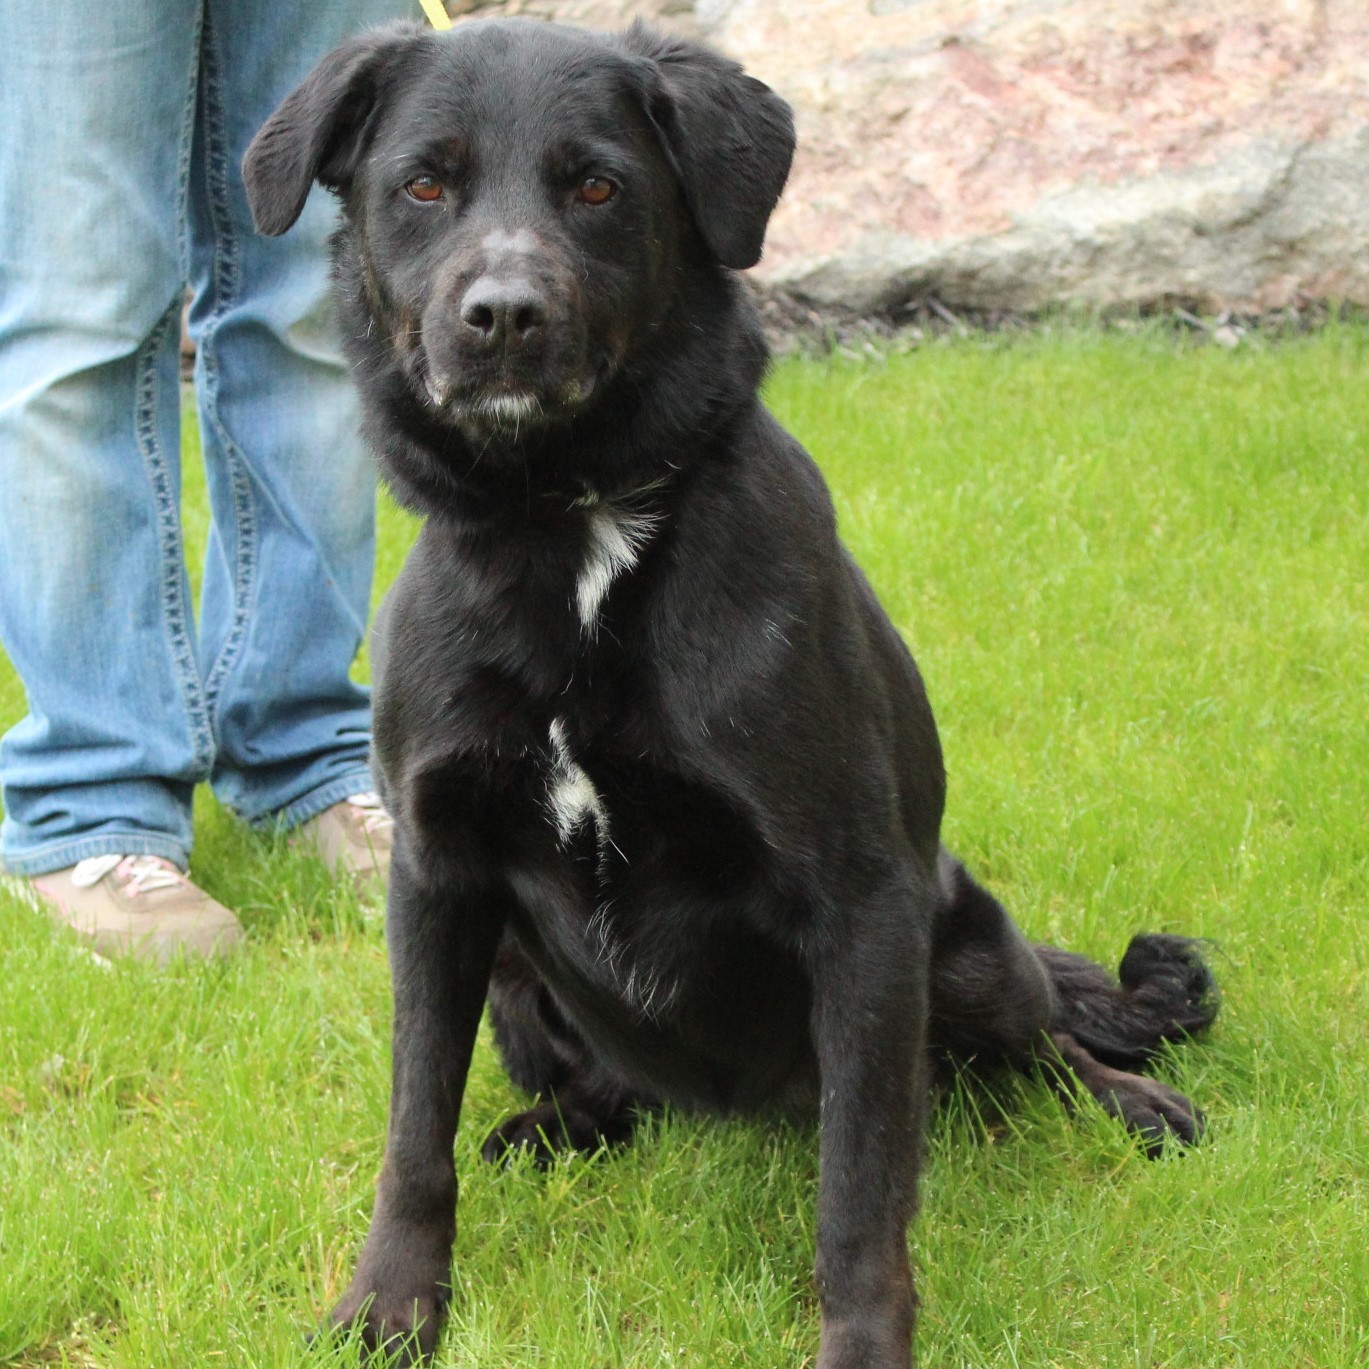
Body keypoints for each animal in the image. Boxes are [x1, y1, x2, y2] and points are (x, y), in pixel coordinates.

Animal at [240, 21, 1215, 1369]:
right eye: (423, 186)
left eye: (598, 187)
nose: (503, 318)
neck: (574, 538)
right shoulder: (433, 877)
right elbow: (413, 1127)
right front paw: (391, 1305)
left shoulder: (861, 902)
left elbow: (862, 1185)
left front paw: (863, 1345)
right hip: (515, 971)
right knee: (609, 1088)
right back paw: (556, 1126)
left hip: (957, 944)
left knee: (1042, 1043)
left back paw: (1128, 1101)